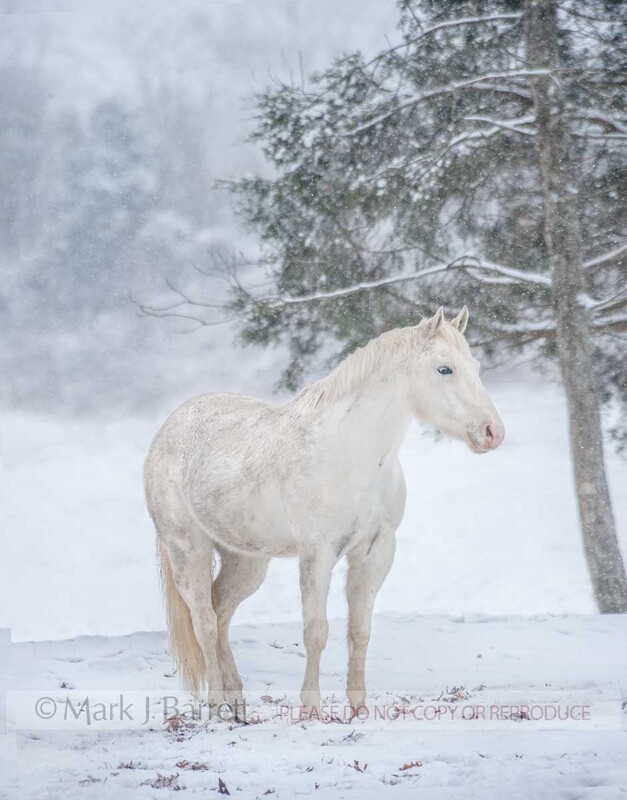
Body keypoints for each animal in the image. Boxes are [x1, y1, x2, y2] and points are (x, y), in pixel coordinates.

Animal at [144, 306, 504, 715]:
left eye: (475, 366)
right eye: (445, 369)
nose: (492, 432)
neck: (353, 454)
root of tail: (169, 428)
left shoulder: (376, 550)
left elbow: (360, 630)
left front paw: (359, 709)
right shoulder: (318, 553)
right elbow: (316, 631)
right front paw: (311, 709)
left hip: (247, 561)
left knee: (220, 612)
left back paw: (237, 702)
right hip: (188, 549)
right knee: (203, 620)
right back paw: (218, 705)